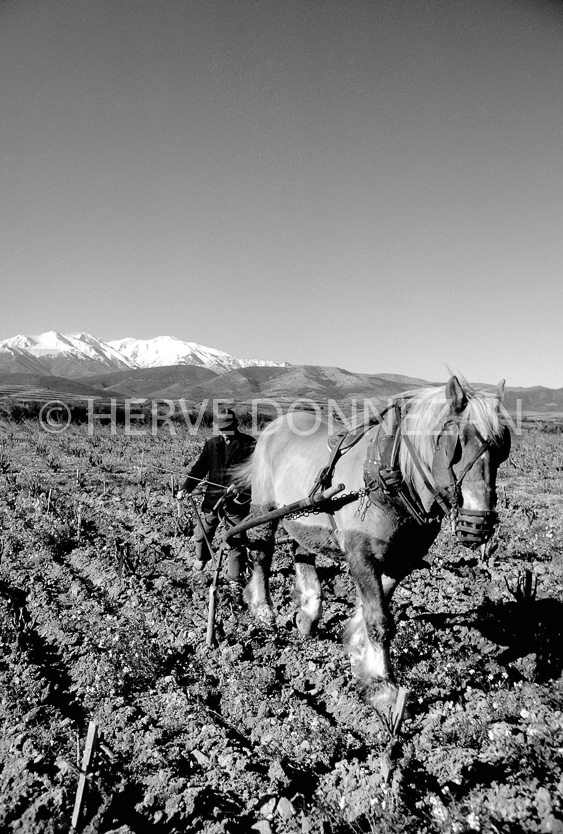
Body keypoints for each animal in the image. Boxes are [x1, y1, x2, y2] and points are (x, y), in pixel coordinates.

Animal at [234, 376, 512, 708]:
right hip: (264, 507)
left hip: (307, 514)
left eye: (502, 447)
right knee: (262, 552)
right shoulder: (361, 553)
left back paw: (309, 613)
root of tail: (276, 424)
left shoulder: (402, 558)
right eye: (455, 443)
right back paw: (263, 609)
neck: (387, 477)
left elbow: (376, 608)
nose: (477, 525)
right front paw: (383, 687)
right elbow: (379, 619)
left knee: (302, 551)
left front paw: (357, 647)